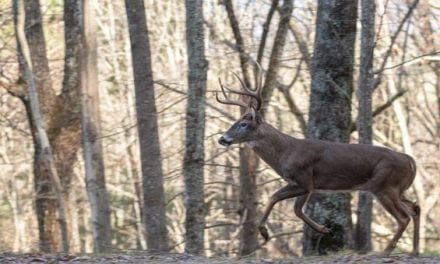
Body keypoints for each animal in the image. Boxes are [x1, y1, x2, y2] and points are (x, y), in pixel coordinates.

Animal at [216, 71, 420, 256]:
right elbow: (292, 207)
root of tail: (410, 160)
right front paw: (325, 230)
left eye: (243, 124)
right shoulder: (304, 184)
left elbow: (278, 200)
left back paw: (387, 251)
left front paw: (265, 232)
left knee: (403, 217)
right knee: (415, 208)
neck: (285, 153)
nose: (222, 139)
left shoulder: (304, 179)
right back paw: (414, 250)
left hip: (384, 185)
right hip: (397, 188)